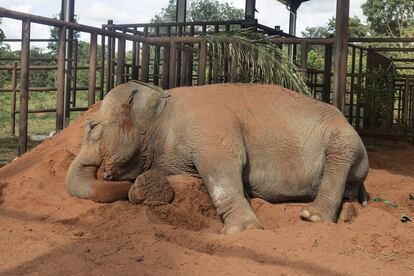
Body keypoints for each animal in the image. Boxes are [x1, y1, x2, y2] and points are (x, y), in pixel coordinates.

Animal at [67, 81, 368, 234]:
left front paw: (242, 230)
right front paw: (143, 190)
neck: (162, 102)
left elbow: (224, 165)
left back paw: (311, 216)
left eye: (92, 127)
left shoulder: (209, 129)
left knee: (339, 160)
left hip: (346, 140)